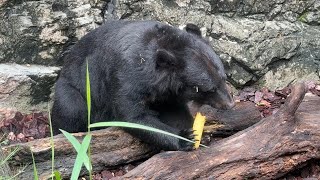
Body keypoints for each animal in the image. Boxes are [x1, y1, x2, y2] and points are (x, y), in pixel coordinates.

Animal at [51, 20, 234, 151]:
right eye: (207, 89)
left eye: (224, 78)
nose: (230, 104)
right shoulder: (126, 76)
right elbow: (133, 117)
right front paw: (186, 138)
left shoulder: (167, 94)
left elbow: (175, 111)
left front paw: (199, 133)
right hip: (73, 89)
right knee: (72, 110)